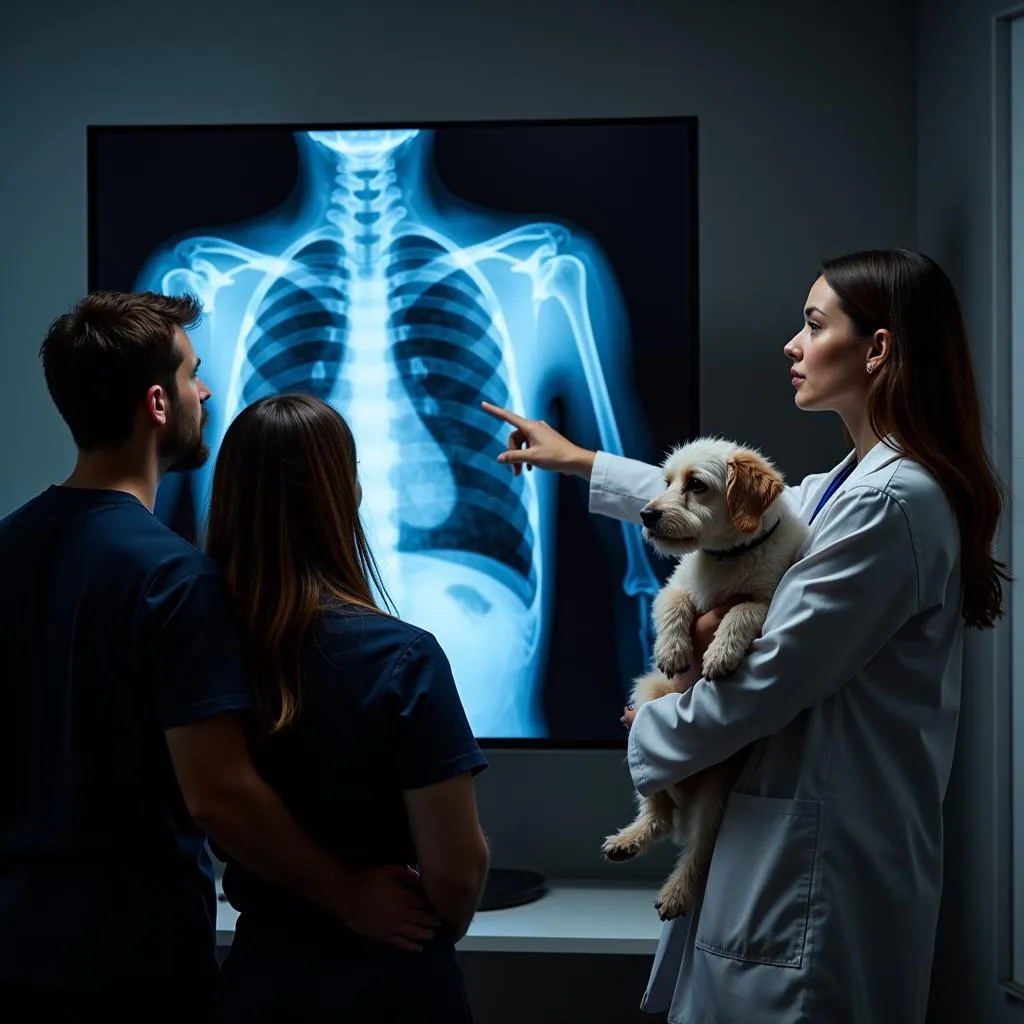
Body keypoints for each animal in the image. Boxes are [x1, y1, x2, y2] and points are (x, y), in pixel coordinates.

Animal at [598, 438, 806, 921]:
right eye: (666, 482)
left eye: (696, 485)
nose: (646, 514)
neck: (729, 557)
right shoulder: (673, 588)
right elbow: (674, 603)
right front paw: (673, 649)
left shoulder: (769, 598)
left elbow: (745, 608)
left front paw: (722, 650)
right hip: (649, 695)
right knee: (658, 811)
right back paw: (631, 838)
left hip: (717, 793)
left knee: (698, 849)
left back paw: (678, 892)